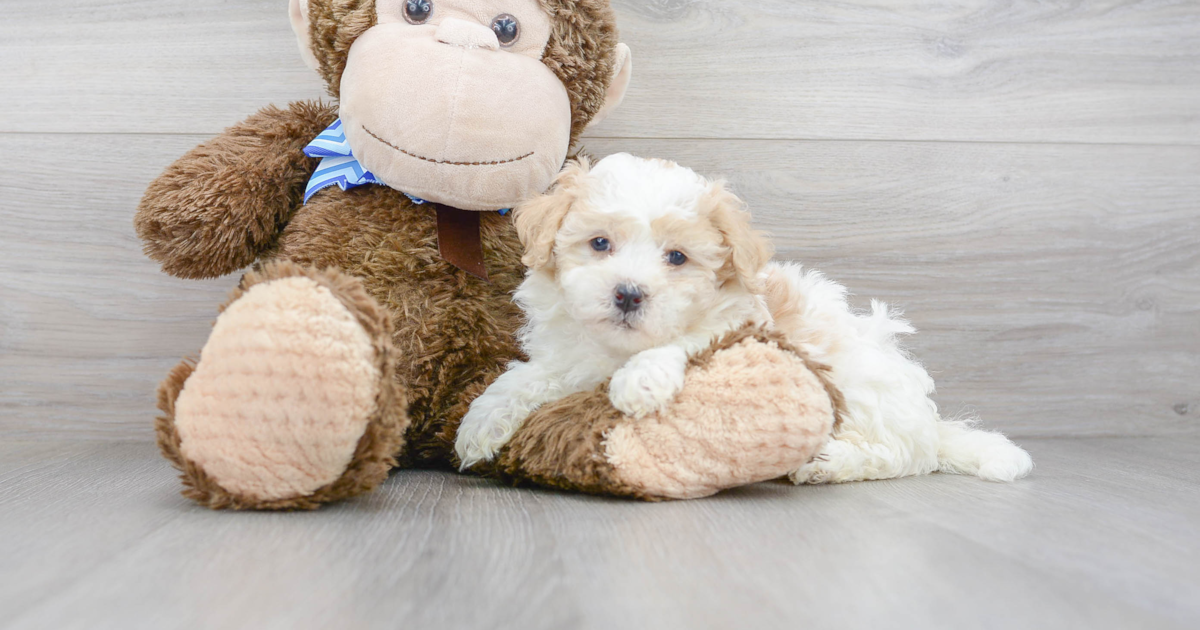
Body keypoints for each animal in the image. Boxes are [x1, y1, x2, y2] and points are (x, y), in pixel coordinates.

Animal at [453, 151, 1036, 482]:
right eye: (600, 244)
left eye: (677, 258)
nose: (629, 294)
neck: (618, 349)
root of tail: (928, 421)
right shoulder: (568, 355)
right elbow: (527, 376)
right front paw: (480, 424)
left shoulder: (739, 325)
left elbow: (687, 341)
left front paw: (640, 381)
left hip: (863, 388)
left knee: (900, 456)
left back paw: (826, 466)